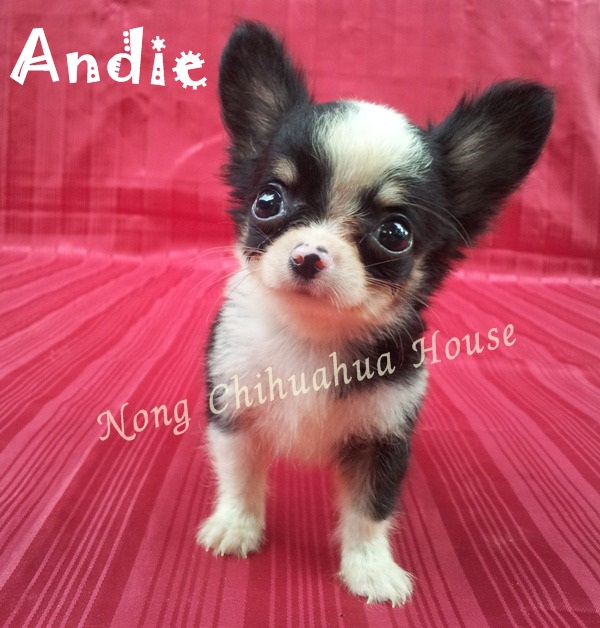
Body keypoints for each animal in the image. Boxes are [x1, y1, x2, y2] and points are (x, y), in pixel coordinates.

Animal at [197, 20, 554, 605]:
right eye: (268, 202)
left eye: (394, 234)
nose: (307, 255)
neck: (313, 339)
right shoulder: (235, 410)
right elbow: (240, 476)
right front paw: (236, 525)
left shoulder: (383, 439)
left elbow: (369, 509)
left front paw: (370, 568)